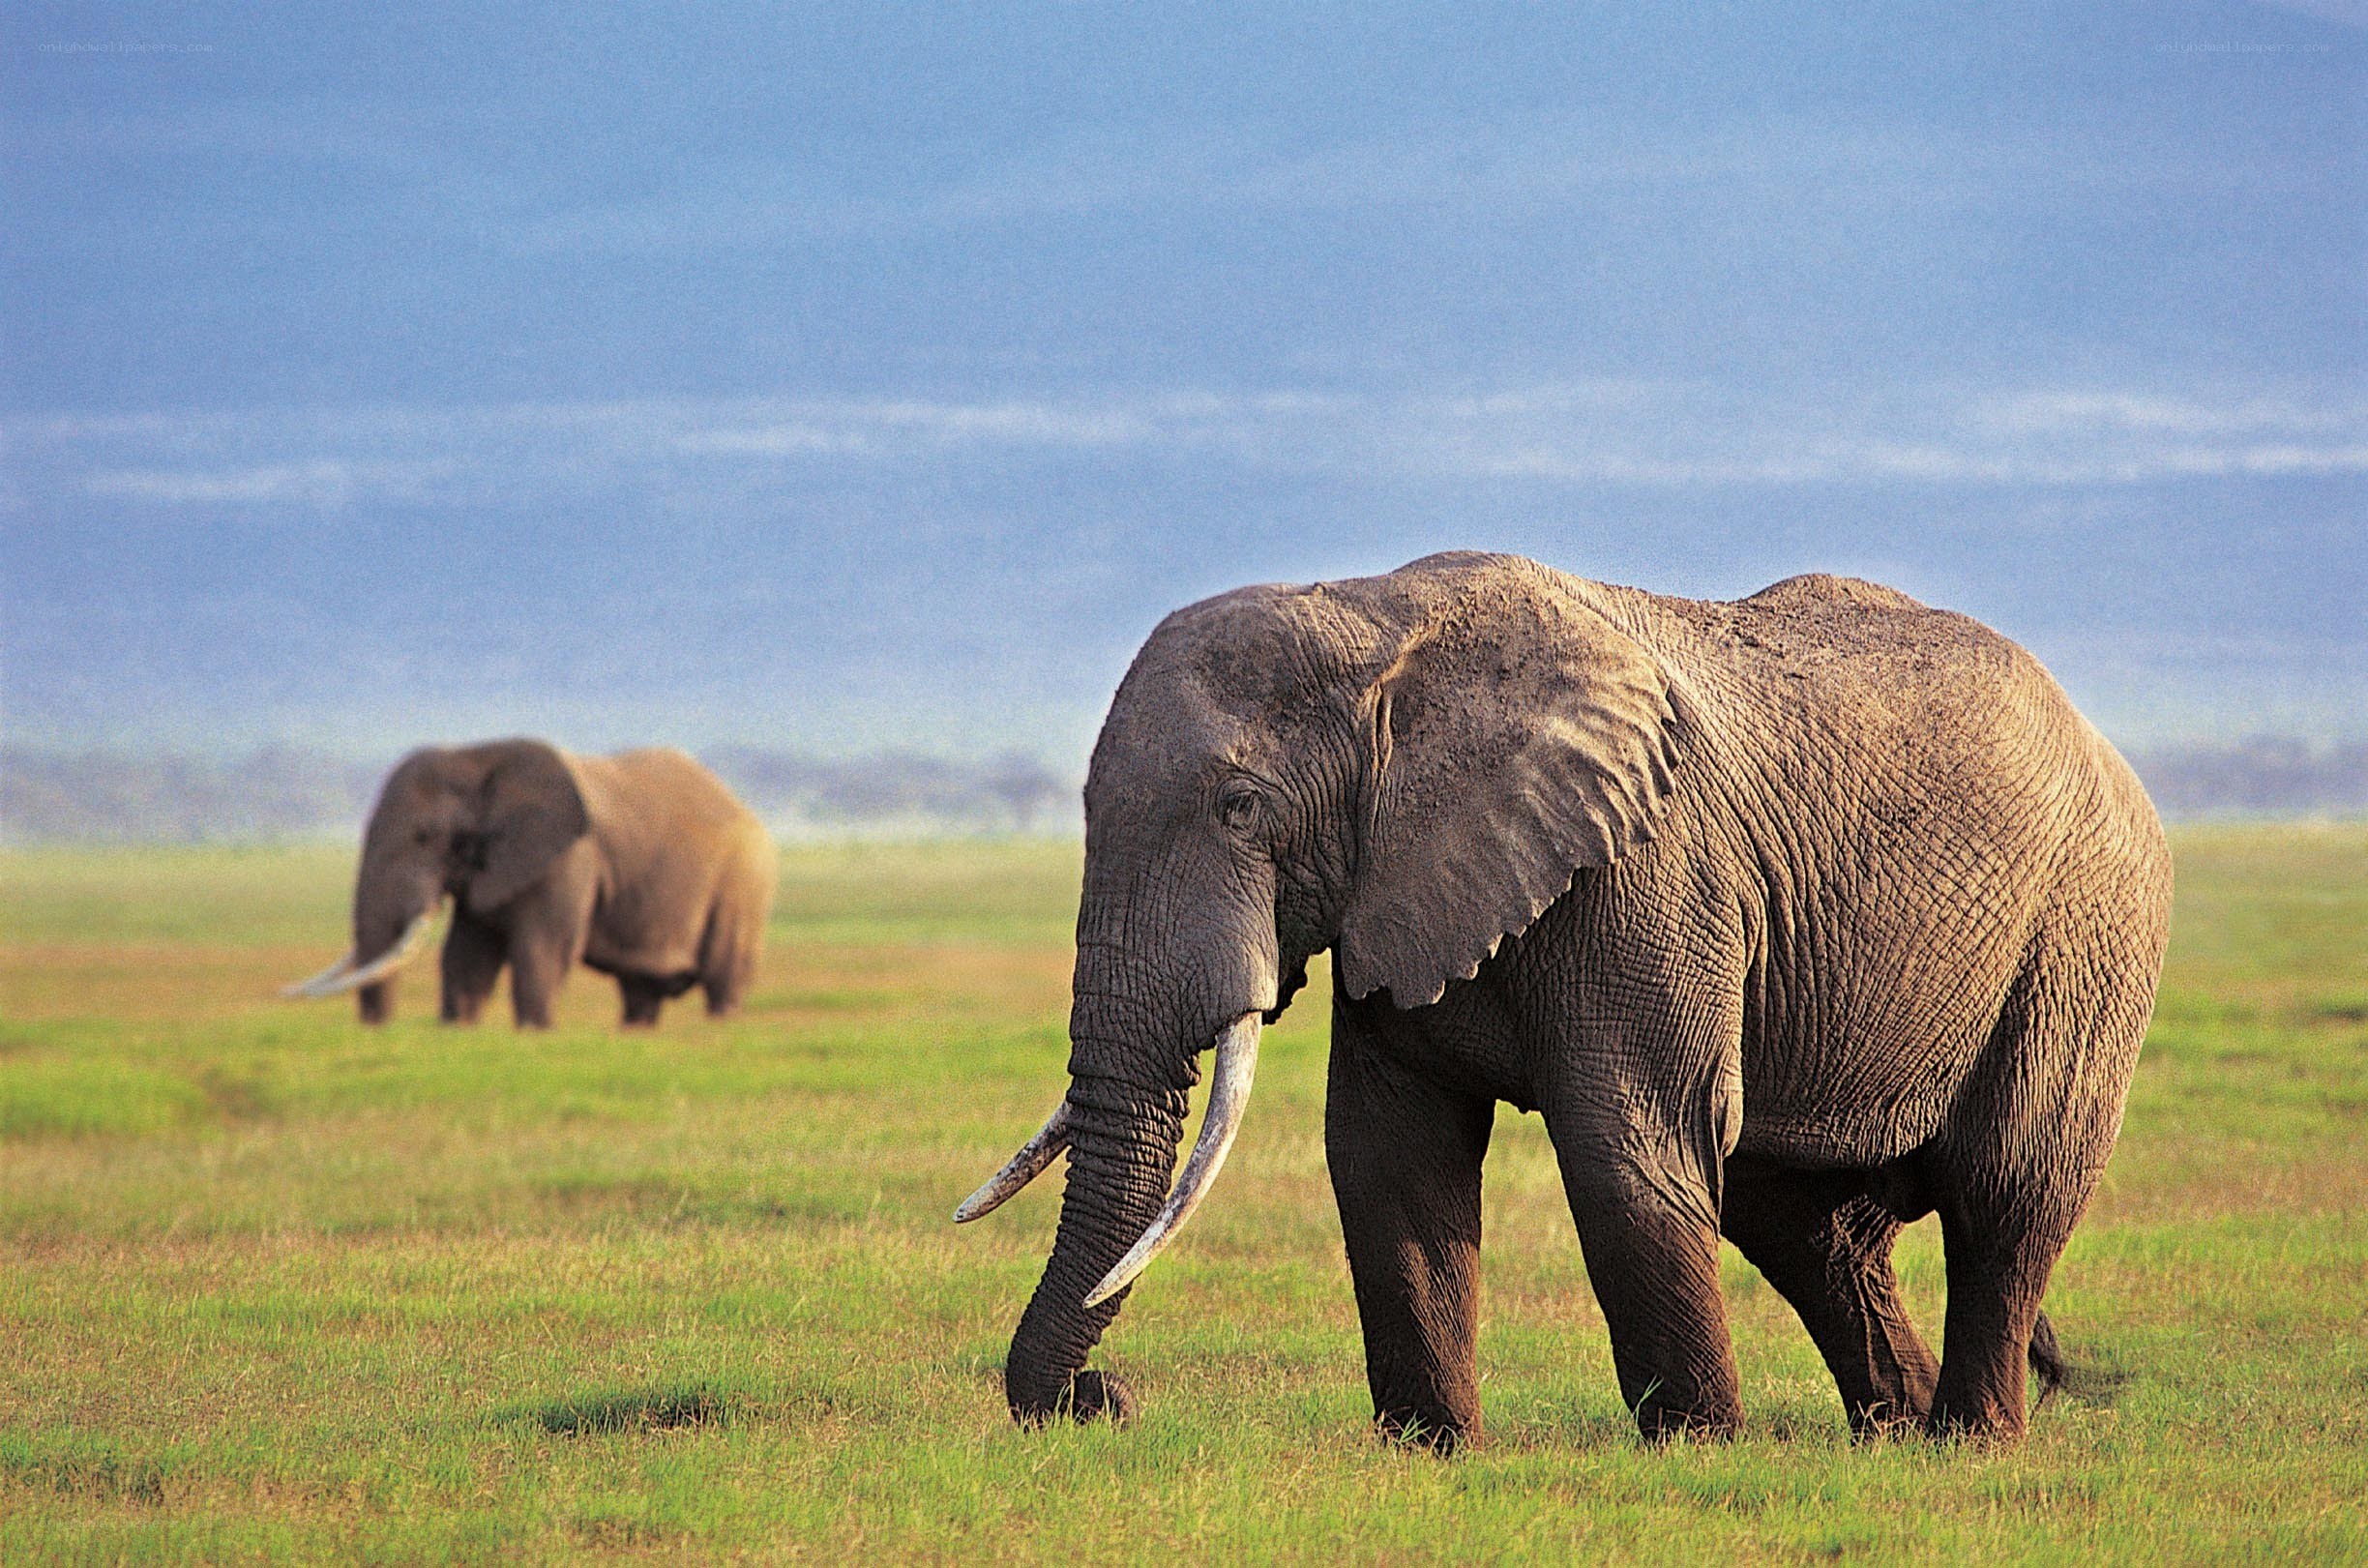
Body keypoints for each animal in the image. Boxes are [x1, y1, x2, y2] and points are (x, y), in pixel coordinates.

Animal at [282, 739, 777, 1029]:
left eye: (424, 837)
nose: (377, 1028)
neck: (477, 757)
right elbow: (467, 954)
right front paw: (459, 1028)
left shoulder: (569, 859)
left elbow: (543, 948)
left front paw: (535, 1033)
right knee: (640, 992)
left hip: (743, 881)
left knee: (723, 977)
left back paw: (722, 1025)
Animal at [958, 552, 2170, 1449]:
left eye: (1241, 808)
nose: (1103, 1401)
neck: (1372, 620)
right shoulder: (1399, 882)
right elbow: (1387, 1154)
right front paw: (1434, 1450)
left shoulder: (1650, 875)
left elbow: (1622, 1148)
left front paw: (1695, 1450)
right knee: (1803, 1223)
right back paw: (1897, 1431)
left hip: (2086, 932)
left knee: (2008, 1190)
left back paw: (1970, 1439)